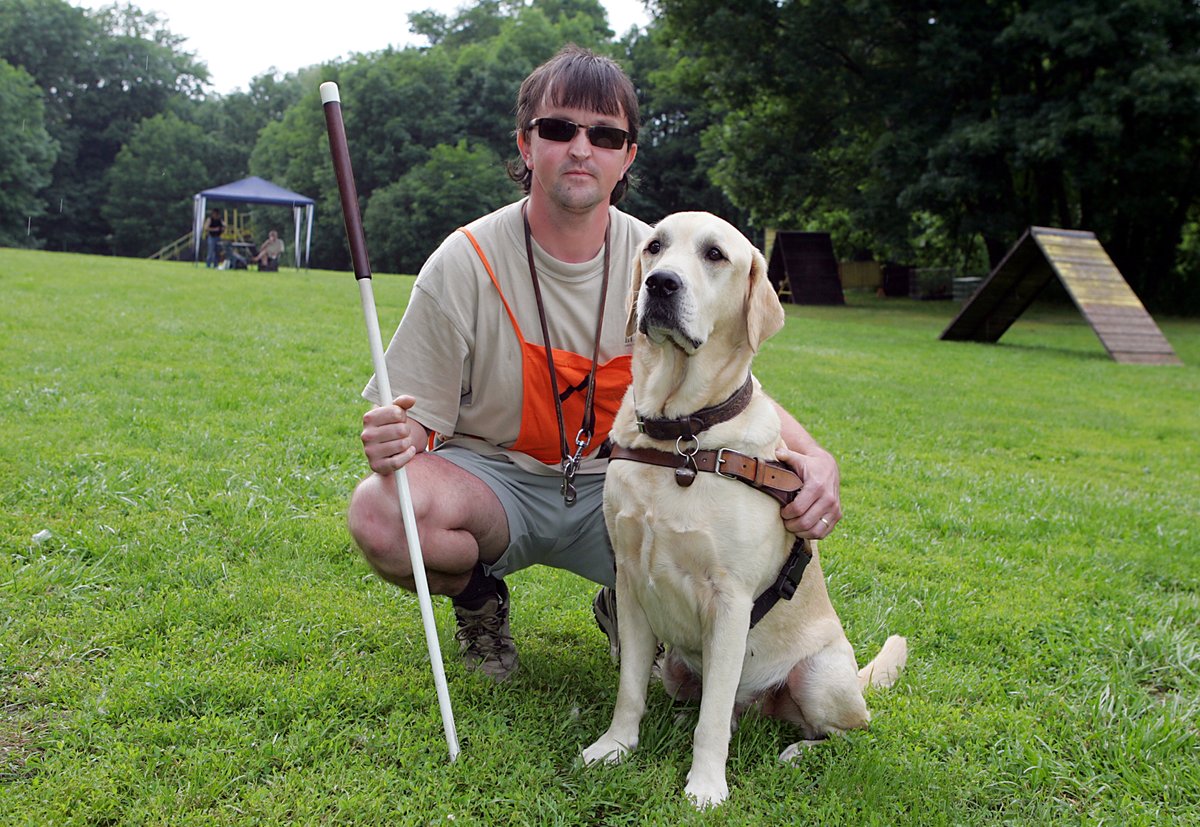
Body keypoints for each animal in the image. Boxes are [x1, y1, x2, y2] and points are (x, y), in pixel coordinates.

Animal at [583, 211, 907, 806]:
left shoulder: (730, 601)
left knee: (843, 732)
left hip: (819, 676)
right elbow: (630, 689)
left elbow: (711, 720)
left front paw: (706, 786)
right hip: (678, 668)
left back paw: (797, 751)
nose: (660, 284)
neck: (682, 439)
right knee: (722, 706)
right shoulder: (632, 585)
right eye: (654, 246)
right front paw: (614, 748)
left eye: (715, 254)